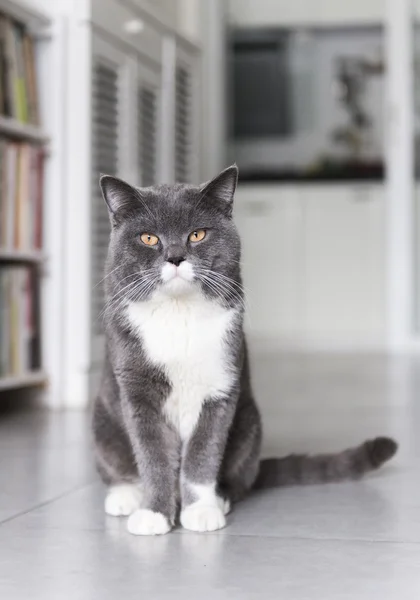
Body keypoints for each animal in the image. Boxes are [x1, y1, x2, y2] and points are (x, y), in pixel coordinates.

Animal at [93, 164, 398, 536]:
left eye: (197, 234)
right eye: (149, 238)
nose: (176, 257)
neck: (178, 313)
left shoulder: (220, 386)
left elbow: (203, 454)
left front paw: (201, 512)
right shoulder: (138, 394)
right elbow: (153, 456)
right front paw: (154, 514)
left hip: (250, 424)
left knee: (241, 478)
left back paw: (221, 497)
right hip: (103, 421)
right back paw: (125, 495)